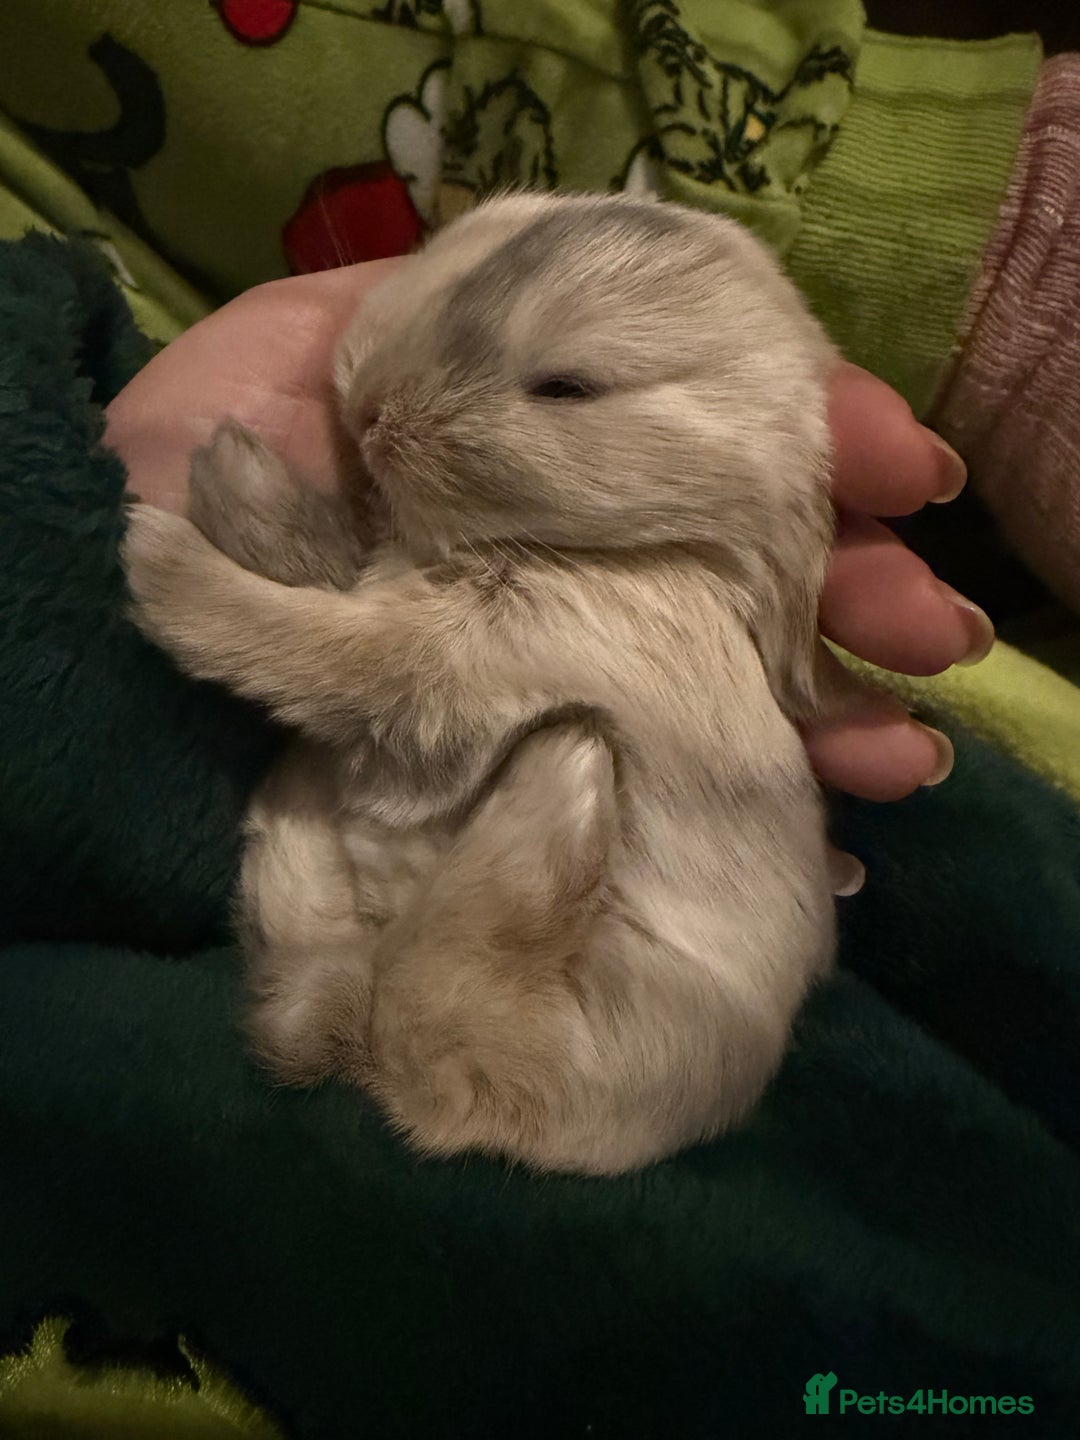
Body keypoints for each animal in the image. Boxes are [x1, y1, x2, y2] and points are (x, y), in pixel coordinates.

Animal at [123, 190, 846, 1176]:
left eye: (568, 388)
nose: (369, 406)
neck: (632, 551)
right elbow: (330, 578)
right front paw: (231, 476)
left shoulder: (462, 660)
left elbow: (313, 644)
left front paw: (159, 556)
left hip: (543, 1034)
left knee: (435, 1012)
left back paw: (568, 779)